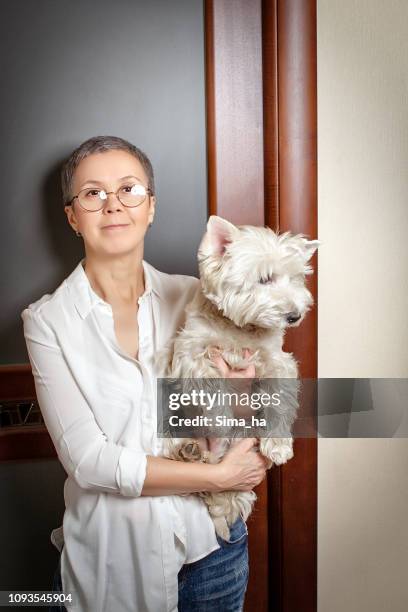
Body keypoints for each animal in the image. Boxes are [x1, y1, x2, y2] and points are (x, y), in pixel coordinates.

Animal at [156, 216, 318, 540]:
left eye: (296, 279)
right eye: (265, 278)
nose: (294, 316)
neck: (240, 329)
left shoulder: (277, 362)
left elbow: (279, 402)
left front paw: (278, 445)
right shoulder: (193, 354)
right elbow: (211, 392)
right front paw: (220, 420)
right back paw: (187, 451)